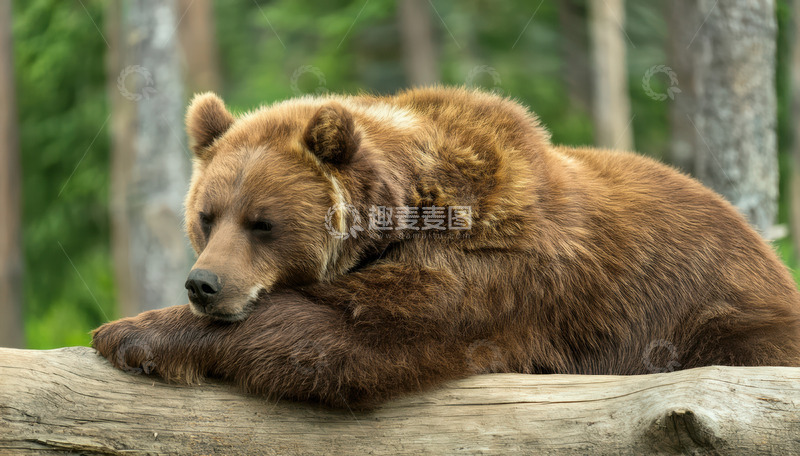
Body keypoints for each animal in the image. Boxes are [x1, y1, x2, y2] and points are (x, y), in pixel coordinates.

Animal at [92, 86, 800, 408]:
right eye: (206, 217)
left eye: (262, 222)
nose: (203, 284)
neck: (407, 208)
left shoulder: (489, 266)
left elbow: (348, 337)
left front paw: (129, 333)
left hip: (720, 312)